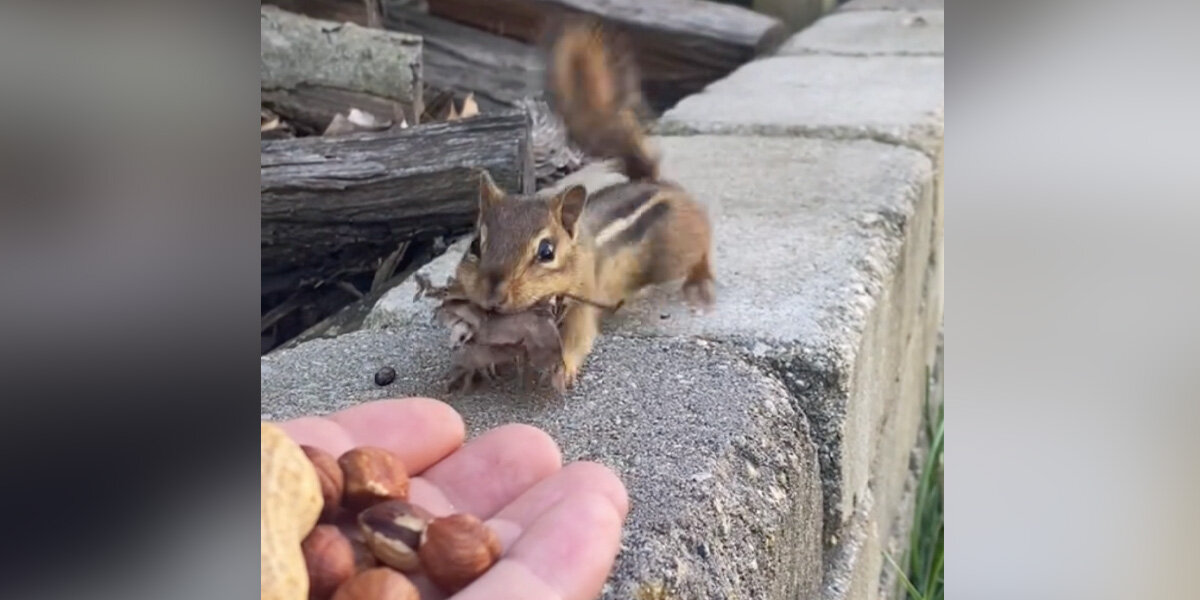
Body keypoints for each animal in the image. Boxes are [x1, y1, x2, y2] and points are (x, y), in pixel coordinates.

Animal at [454, 18, 715, 392]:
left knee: (703, 243)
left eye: (546, 252)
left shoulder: (583, 304)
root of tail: (652, 181)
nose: (493, 295)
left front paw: (561, 369)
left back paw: (700, 284)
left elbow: (578, 338)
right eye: (475, 245)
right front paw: (472, 367)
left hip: (674, 253)